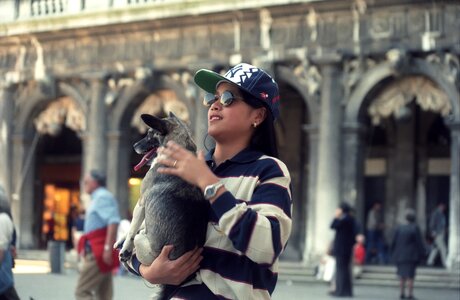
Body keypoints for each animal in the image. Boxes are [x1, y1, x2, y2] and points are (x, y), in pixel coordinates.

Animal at [116, 112, 209, 300]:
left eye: (150, 134)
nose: (134, 145)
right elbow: (135, 226)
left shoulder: (141, 203)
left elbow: (132, 229)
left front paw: (125, 249)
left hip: (142, 242)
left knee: (138, 234)